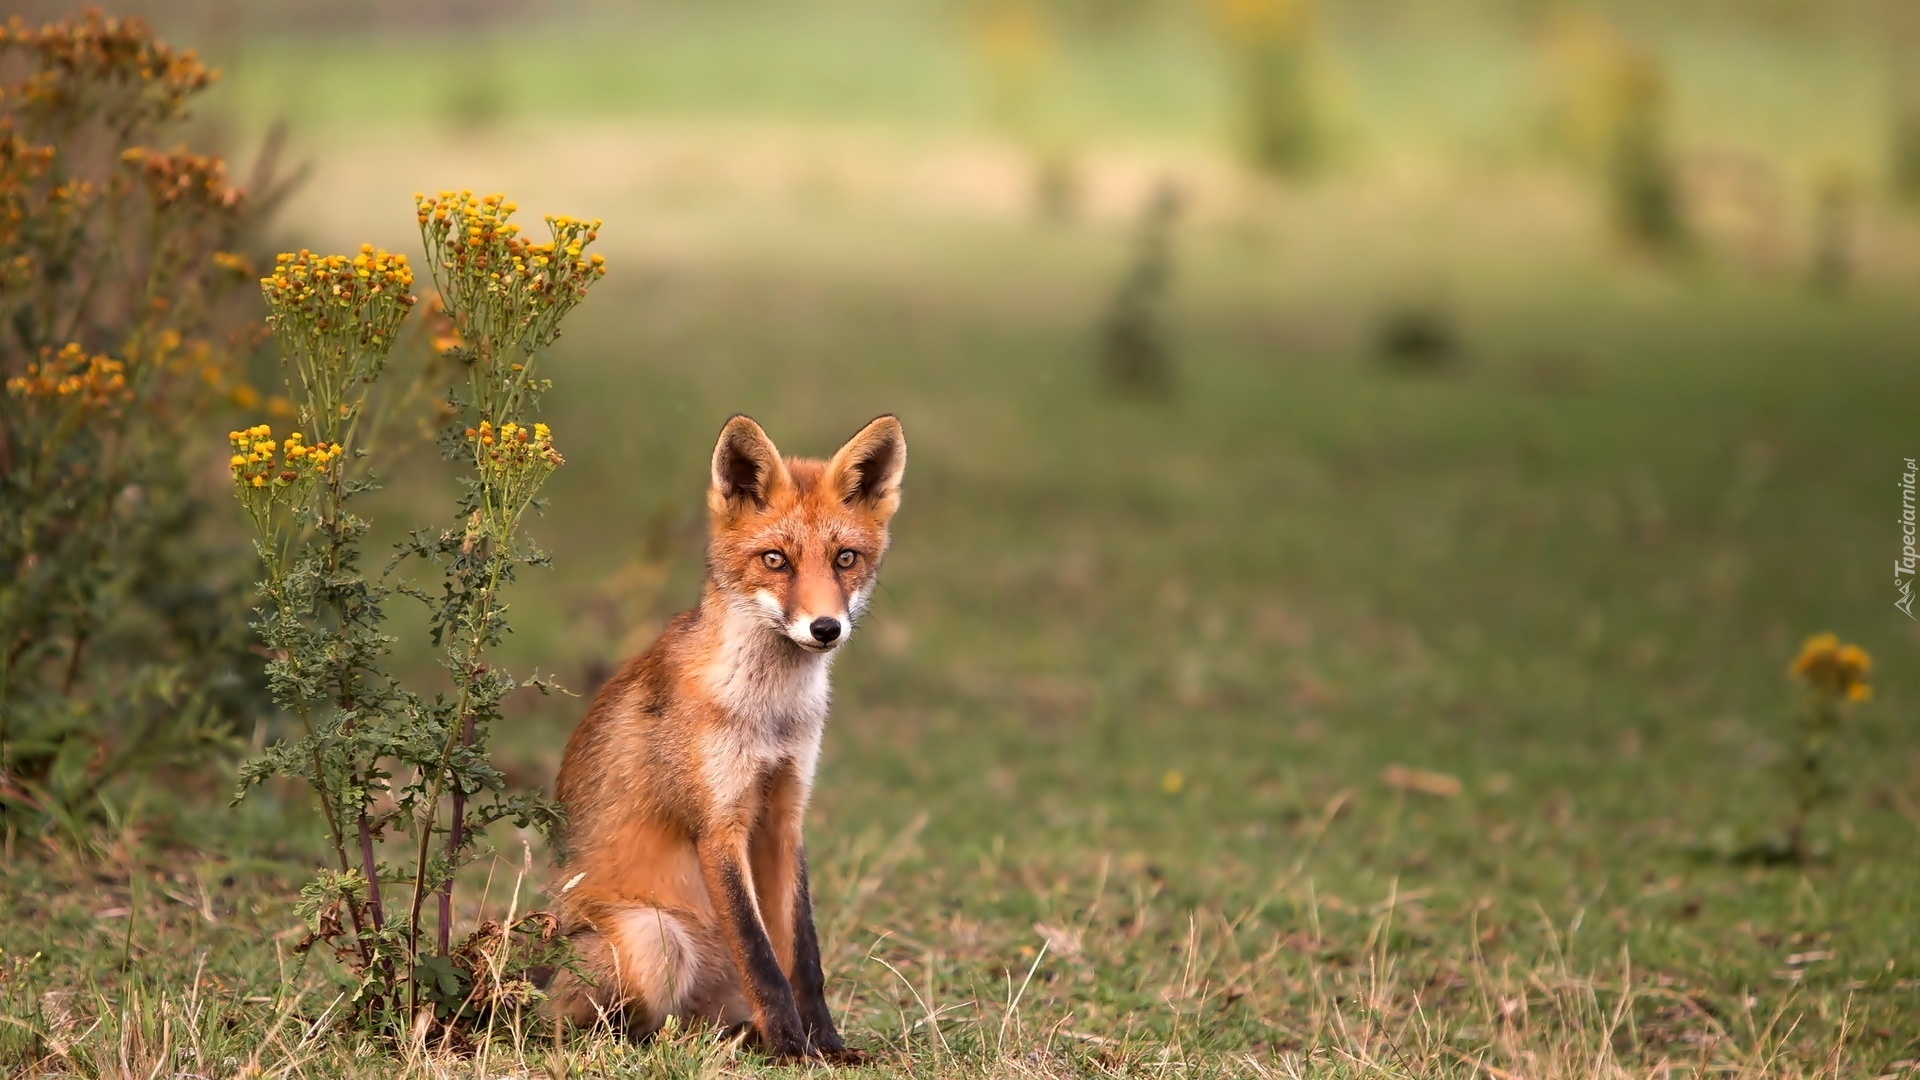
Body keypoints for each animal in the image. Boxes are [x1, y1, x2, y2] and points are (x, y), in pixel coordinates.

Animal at [549, 413, 906, 1060]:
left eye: (845, 558)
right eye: (775, 559)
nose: (825, 627)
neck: (770, 714)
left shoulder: (785, 815)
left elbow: (804, 961)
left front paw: (827, 1046)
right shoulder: (718, 824)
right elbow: (762, 958)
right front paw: (792, 1048)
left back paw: (742, 1037)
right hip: (654, 938)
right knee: (617, 1027)